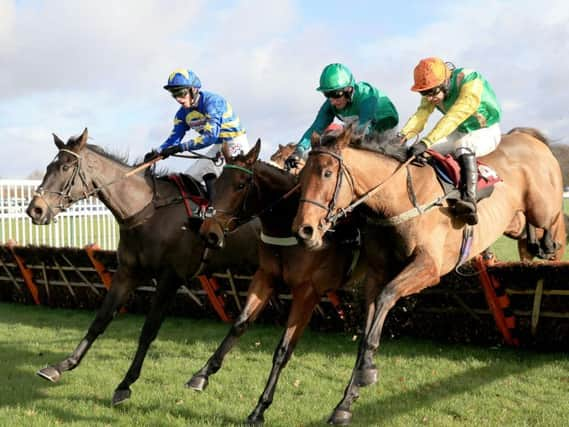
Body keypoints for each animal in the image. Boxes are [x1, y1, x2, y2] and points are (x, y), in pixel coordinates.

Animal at [25, 130, 258, 408]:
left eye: (65, 167)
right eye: (48, 167)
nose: (34, 210)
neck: (146, 213)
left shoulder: (170, 278)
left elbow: (148, 331)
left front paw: (125, 384)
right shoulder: (127, 273)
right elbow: (100, 320)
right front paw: (61, 366)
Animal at [189, 140, 362, 424]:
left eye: (241, 185)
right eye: (218, 182)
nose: (209, 233)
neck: (287, 224)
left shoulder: (307, 293)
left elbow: (283, 349)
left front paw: (259, 409)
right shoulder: (265, 276)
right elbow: (239, 324)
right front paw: (201, 374)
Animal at [290, 124, 564, 424]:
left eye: (327, 173)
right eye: (302, 176)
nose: (304, 230)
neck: (398, 199)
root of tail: (526, 135)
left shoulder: (428, 267)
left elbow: (386, 298)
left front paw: (366, 370)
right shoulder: (377, 273)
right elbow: (369, 322)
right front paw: (347, 401)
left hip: (543, 208)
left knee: (554, 225)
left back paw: (546, 244)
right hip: (516, 219)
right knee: (529, 230)